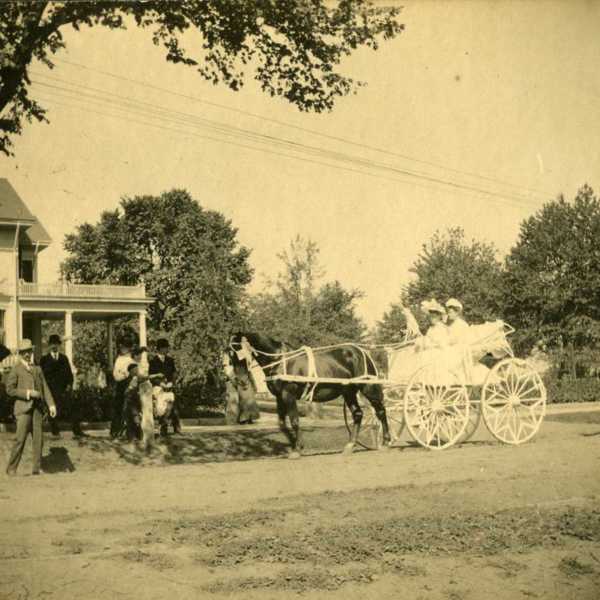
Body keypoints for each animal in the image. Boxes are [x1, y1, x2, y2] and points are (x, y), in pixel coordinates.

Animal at [227, 332, 392, 460]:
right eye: (230, 354)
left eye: (239, 352)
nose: (240, 380)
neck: (279, 360)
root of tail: (361, 352)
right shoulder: (279, 397)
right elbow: (282, 424)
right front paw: (295, 444)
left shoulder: (288, 394)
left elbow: (294, 421)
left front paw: (297, 449)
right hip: (348, 392)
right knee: (358, 414)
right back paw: (350, 445)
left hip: (368, 388)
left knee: (380, 411)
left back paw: (386, 441)